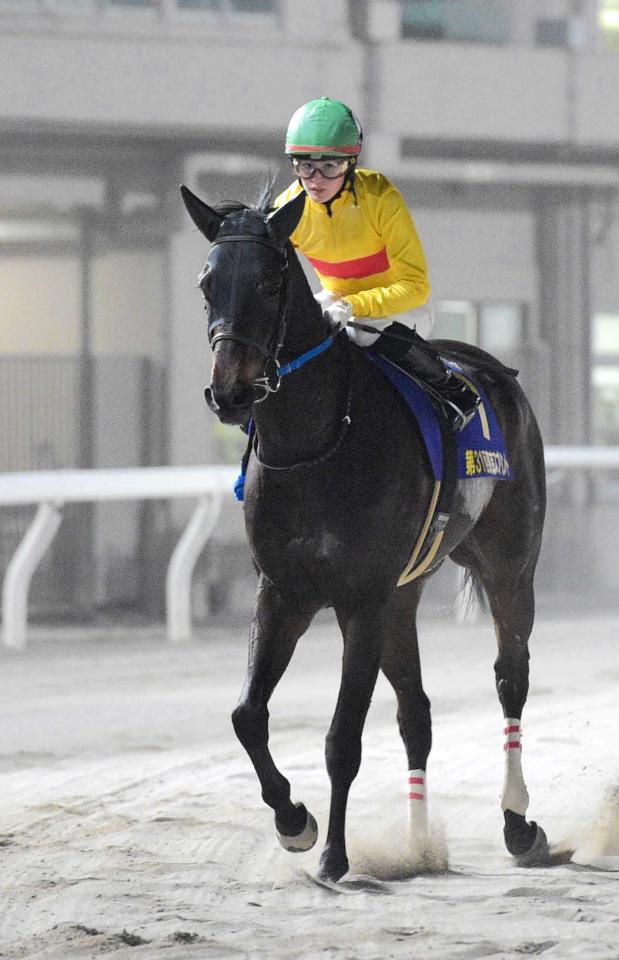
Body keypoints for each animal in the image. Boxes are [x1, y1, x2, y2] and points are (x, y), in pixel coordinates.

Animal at [179, 184, 548, 880]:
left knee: (510, 679)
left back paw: (519, 825)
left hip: (508, 568)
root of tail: (496, 371)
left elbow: (342, 737)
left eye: (270, 280)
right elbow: (247, 714)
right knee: (416, 712)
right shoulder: (283, 592)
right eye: (206, 281)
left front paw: (332, 854)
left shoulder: (360, 601)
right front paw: (294, 822)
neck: (314, 444)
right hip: (404, 594)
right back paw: (420, 846)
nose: (230, 393)